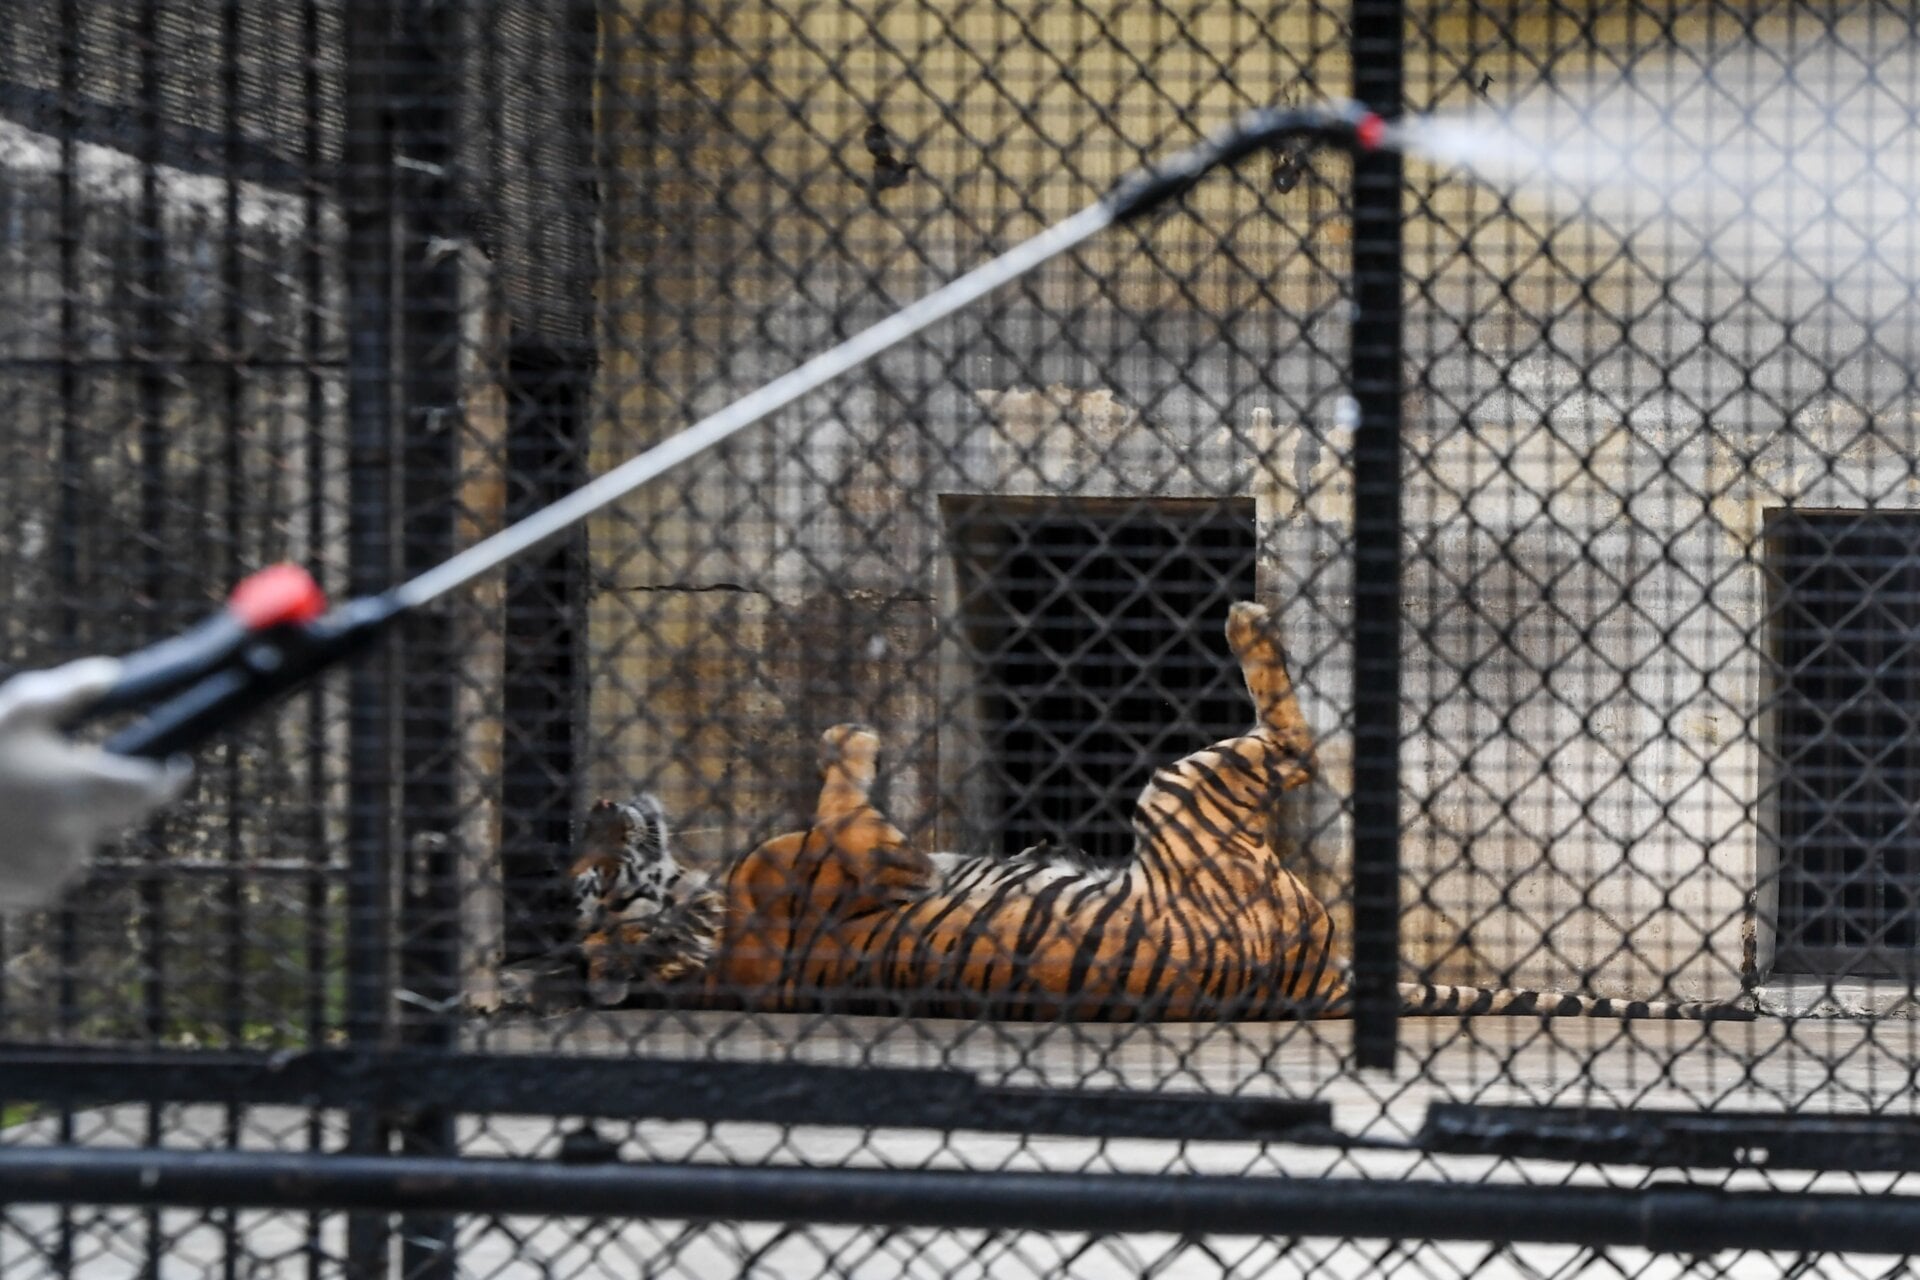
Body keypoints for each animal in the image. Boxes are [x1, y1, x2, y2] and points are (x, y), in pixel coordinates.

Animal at [572, 600, 1751, 1022]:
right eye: (590, 878)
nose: (601, 799)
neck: (700, 927)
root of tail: (1313, 979)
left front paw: (840, 732)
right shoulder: (873, 855)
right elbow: (846, 797)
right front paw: (851, 736)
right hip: (1182, 792)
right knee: (1295, 744)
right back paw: (1248, 615)